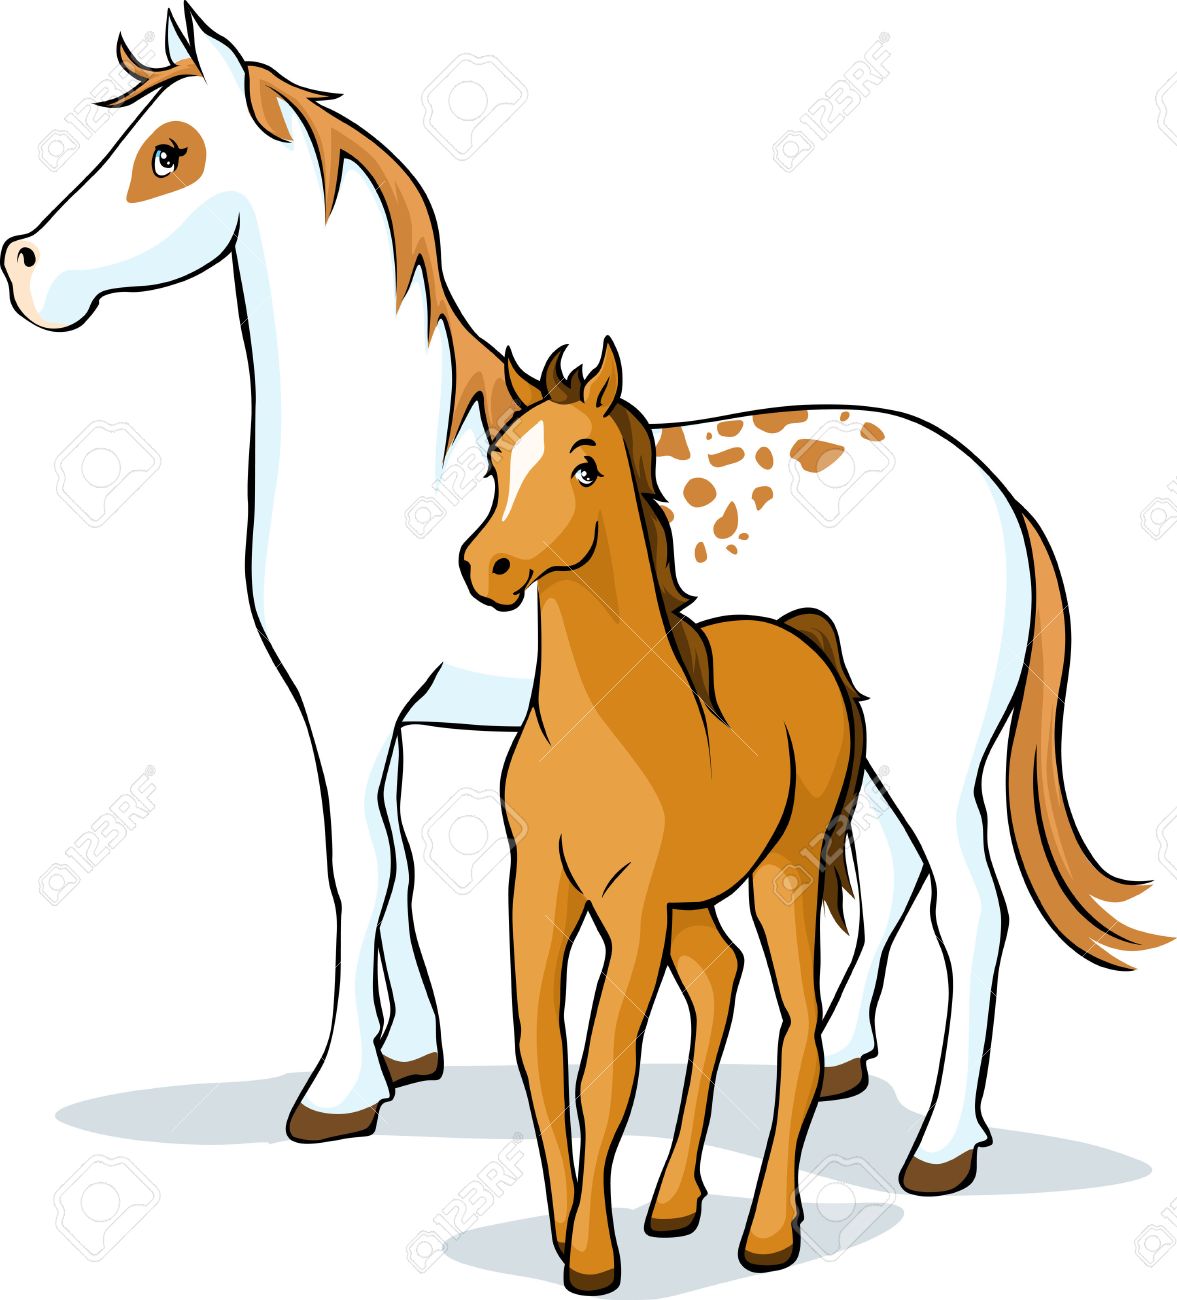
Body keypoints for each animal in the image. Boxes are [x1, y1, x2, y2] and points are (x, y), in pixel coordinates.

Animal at [2, 9, 1165, 1189]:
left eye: (168, 156)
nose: (26, 265)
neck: (400, 466)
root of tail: (997, 494)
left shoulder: (348, 708)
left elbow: (354, 872)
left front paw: (337, 1093)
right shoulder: (386, 718)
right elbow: (397, 864)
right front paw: (408, 1048)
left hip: (930, 744)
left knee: (972, 908)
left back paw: (942, 1144)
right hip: (865, 739)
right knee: (889, 873)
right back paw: (840, 1056)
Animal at [460, 338, 867, 1291]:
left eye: (585, 466)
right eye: (497, 461)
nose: (486, 569)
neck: (594, 727)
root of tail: (799, 634)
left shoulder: (632, 903)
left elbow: (602, 1072)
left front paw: (590, 1257)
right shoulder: (541, 891)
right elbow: (540, 1054)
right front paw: (566, 1228)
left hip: (778, 872)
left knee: (798, 1025)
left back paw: (769, 1232)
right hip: (690, 897)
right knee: (718, 978)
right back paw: (676, 1203)